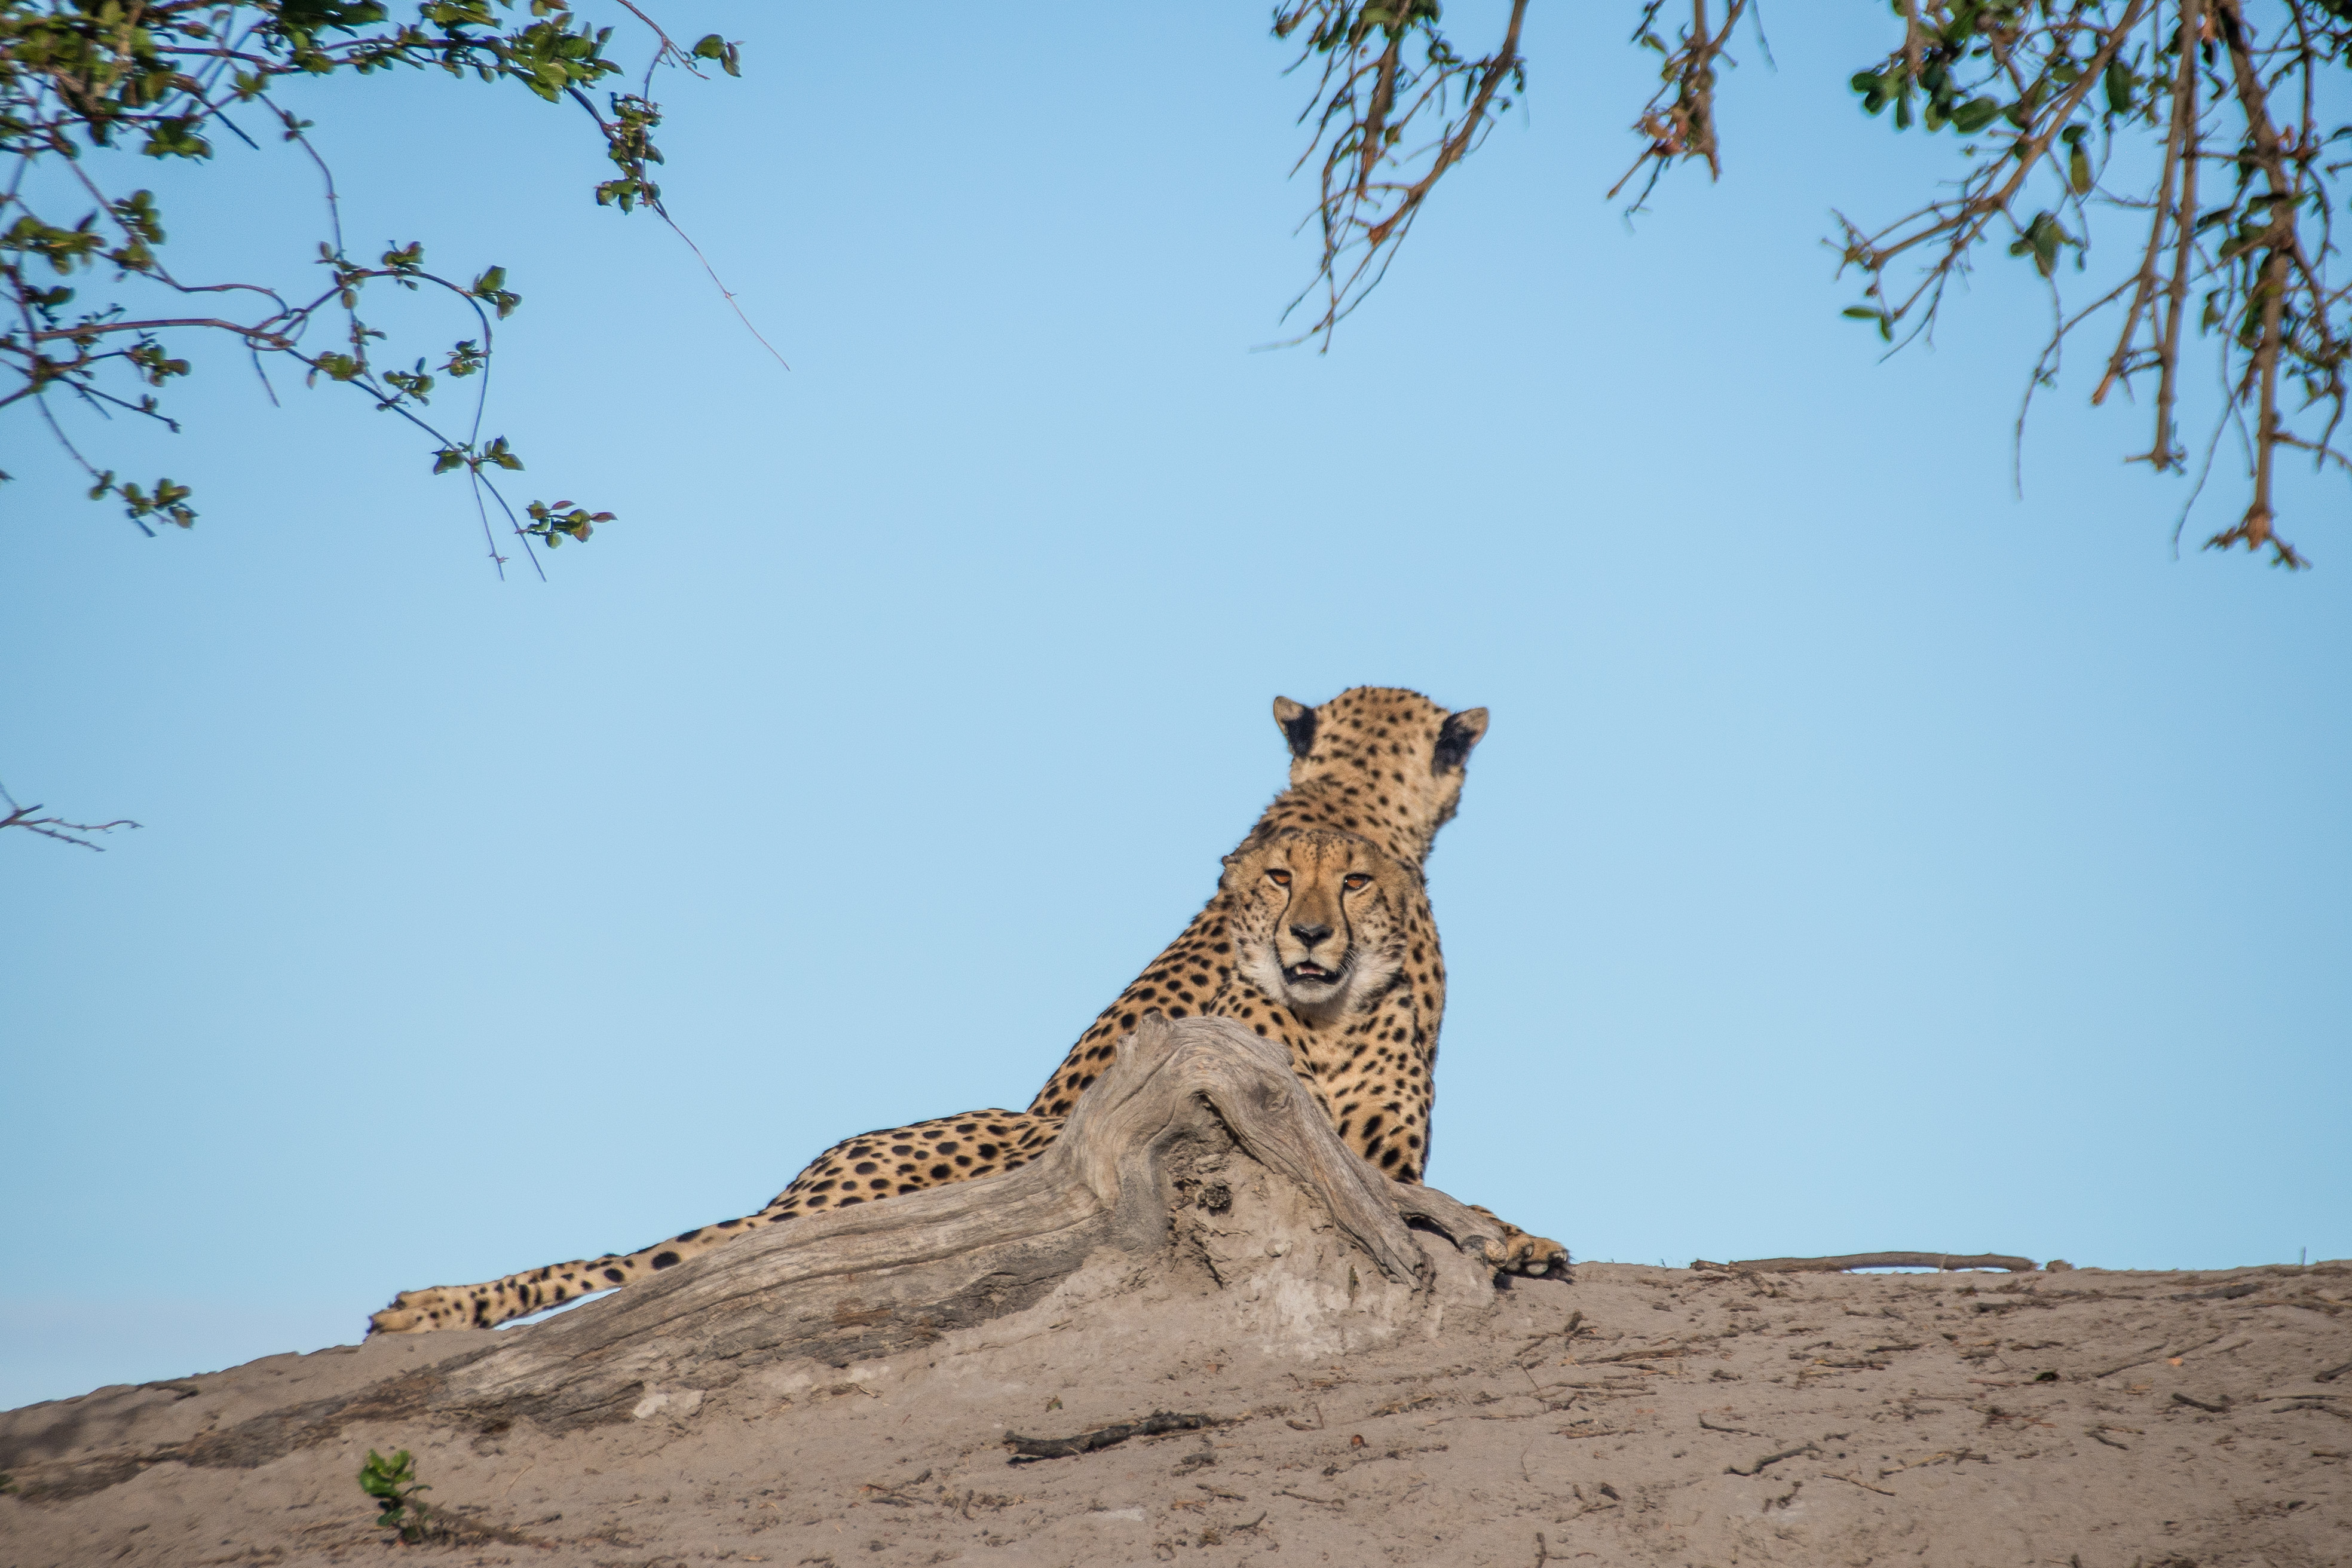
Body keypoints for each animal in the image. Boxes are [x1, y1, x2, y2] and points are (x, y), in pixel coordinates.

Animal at [366, 688, 1562, 1335]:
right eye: (1280, 879)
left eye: (1350, 883)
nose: (1310, 936)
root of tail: (796, 1186)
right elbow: (1434, 1196)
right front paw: (1518, 1238)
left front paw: (1523, 1240)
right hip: (980, 1135)